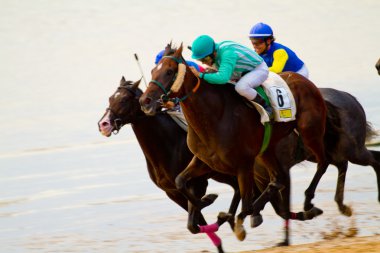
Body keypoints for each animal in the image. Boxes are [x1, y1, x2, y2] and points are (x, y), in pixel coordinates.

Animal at [98, 78, 240, 252]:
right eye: (110, 98)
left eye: (124, 99)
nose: (103, 124)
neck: (168, 144)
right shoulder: (172, 193)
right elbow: (194, 224)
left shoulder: (197, 183)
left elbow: (195, 213)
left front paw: (211, 201)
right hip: (220, 173)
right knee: (237, 188)